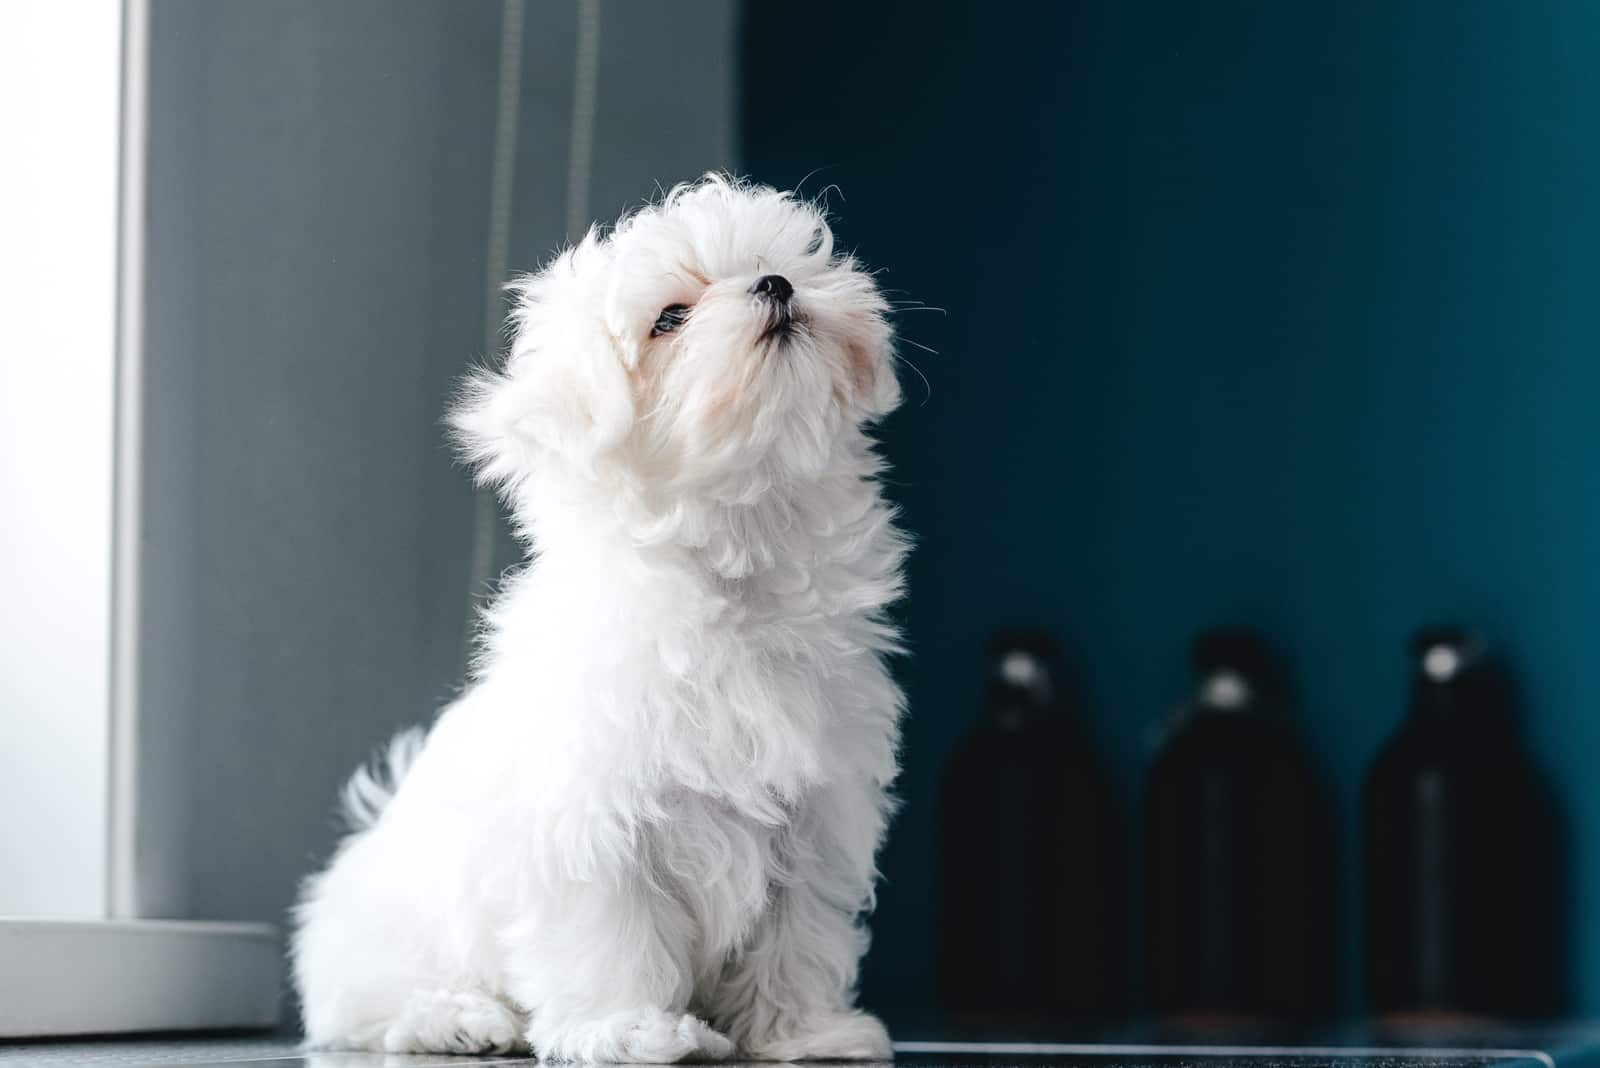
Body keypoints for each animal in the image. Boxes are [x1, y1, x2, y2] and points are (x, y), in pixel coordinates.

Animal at [292, 175, 908, 1061]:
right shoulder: (591, 816)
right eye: (670, 318)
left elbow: (797, 933)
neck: (738, 559)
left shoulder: (815, 813)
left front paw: (804, 1031)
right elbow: (610, 933)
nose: (776, 286)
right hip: (392, 932)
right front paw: (634, 1030)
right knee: (368, 1009)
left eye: (781, 263)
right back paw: (460, 1019)